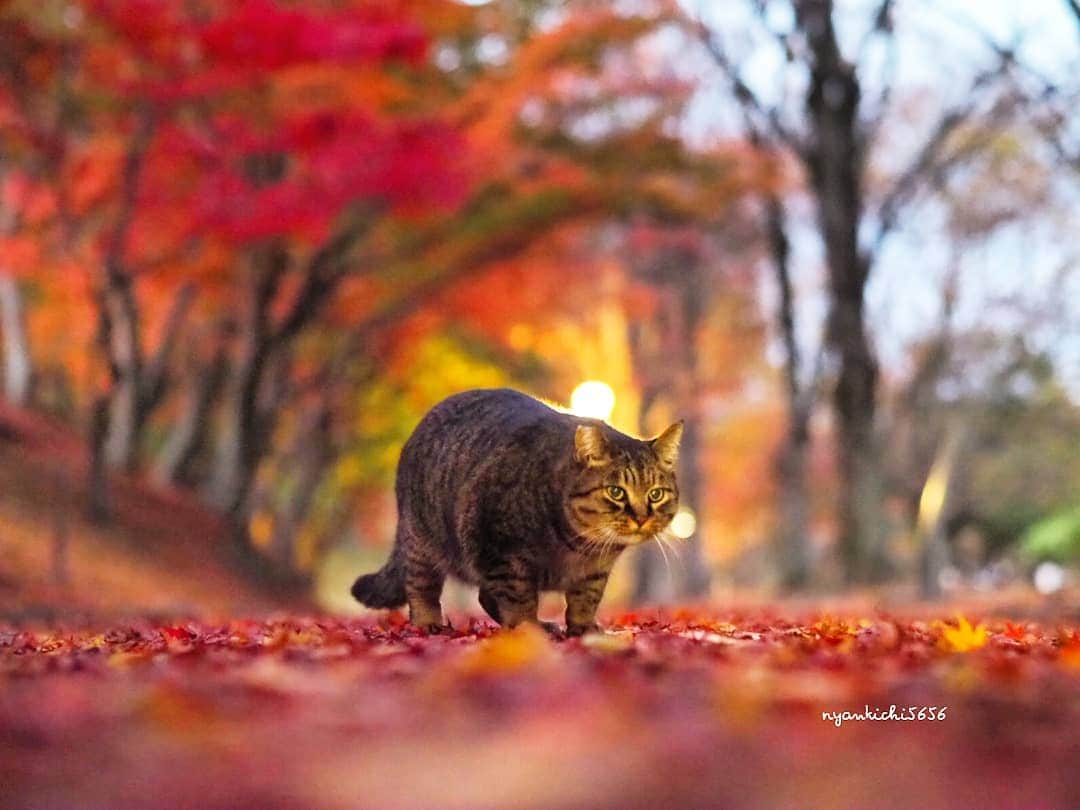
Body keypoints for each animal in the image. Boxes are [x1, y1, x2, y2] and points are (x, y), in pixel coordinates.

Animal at [349, 390, 678, 639]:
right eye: (616, 492)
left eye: (655, 494)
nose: (641, 517)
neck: (578, 546)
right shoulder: (502, 551)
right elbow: (519, 600)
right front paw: (527, 629)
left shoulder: (594, 571)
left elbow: (586, 599)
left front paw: (582, 628)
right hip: (421, 540)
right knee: (421, 587)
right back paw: (428, 623)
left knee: (483, 595)